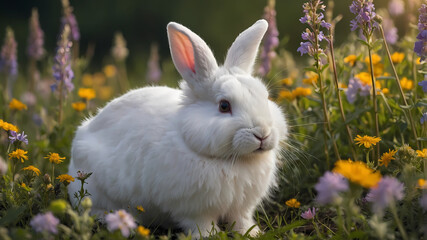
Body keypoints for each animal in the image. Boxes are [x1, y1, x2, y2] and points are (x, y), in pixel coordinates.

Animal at [68, 19, 290, 237]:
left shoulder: (241, 207)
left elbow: (242, 221)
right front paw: (209, 235)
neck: (232, 161)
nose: (262, 134)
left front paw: (252, 233)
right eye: (224, 106)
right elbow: (201, 224)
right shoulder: (195, 210)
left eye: (265, 97)